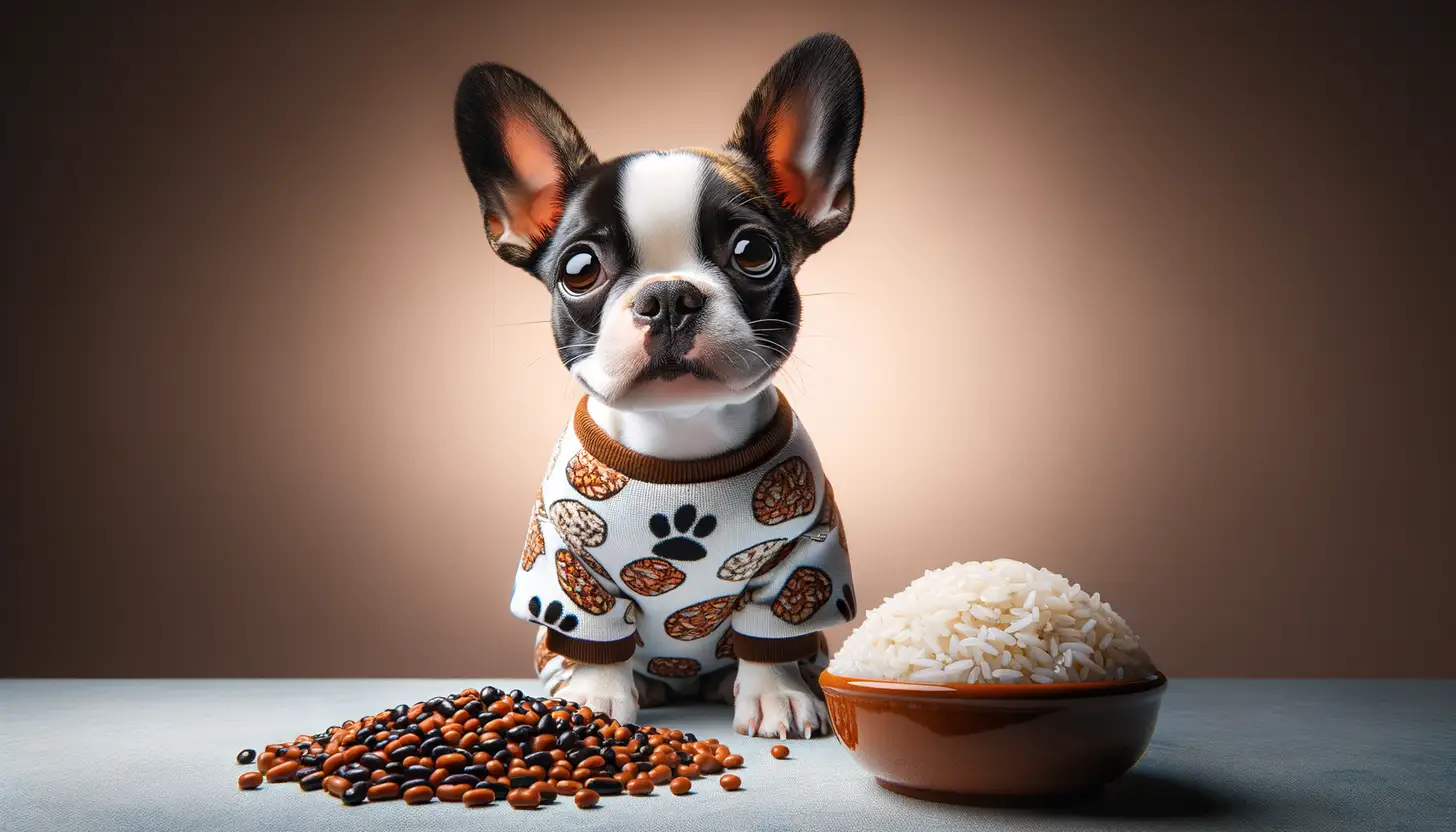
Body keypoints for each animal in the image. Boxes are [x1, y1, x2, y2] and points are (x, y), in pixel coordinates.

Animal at [454, 32, 861, 740]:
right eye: (579, 269)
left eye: (755, 253)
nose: (669, 296)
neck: (680, 441)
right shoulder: (565, 564)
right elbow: (595, 635)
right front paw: (593, 696)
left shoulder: (802, 556)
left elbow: (771, 631)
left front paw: (777, 695)